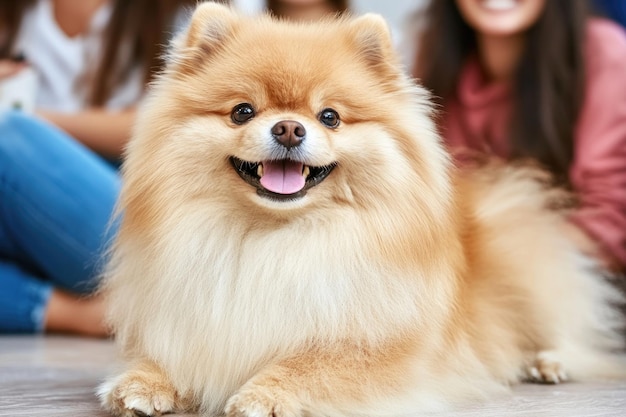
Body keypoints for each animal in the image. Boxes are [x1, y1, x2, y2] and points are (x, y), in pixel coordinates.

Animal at [97, 3, 620, 416]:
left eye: (330, 117)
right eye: (242, 111)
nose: (289, 128)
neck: (273, 239)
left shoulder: (386, 349)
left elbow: (316, 364)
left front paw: (265, 394)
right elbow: (165, 354)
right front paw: (141, 382)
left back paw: (548, 361)